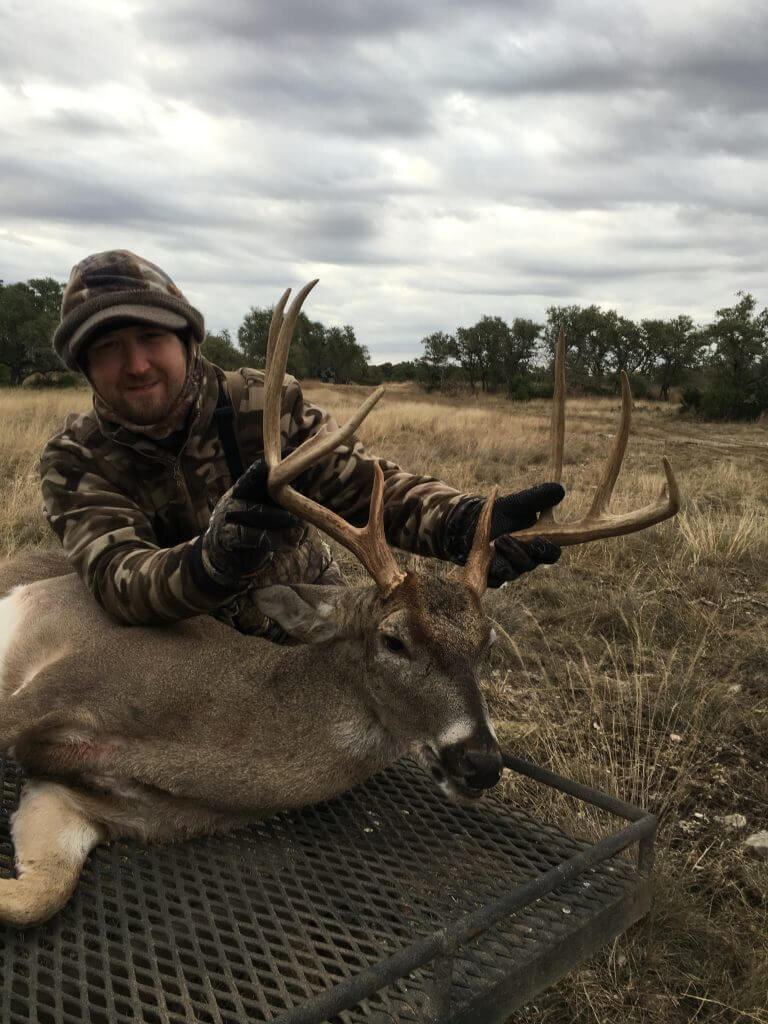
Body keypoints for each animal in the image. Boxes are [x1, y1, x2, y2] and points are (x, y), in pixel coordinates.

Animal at [0, 282, 681, 927]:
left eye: (488, 644)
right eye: (394, 639)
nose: (482, 763)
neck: (195, 733)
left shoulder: (90, 804)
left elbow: (38, 894)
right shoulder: (65, 678)